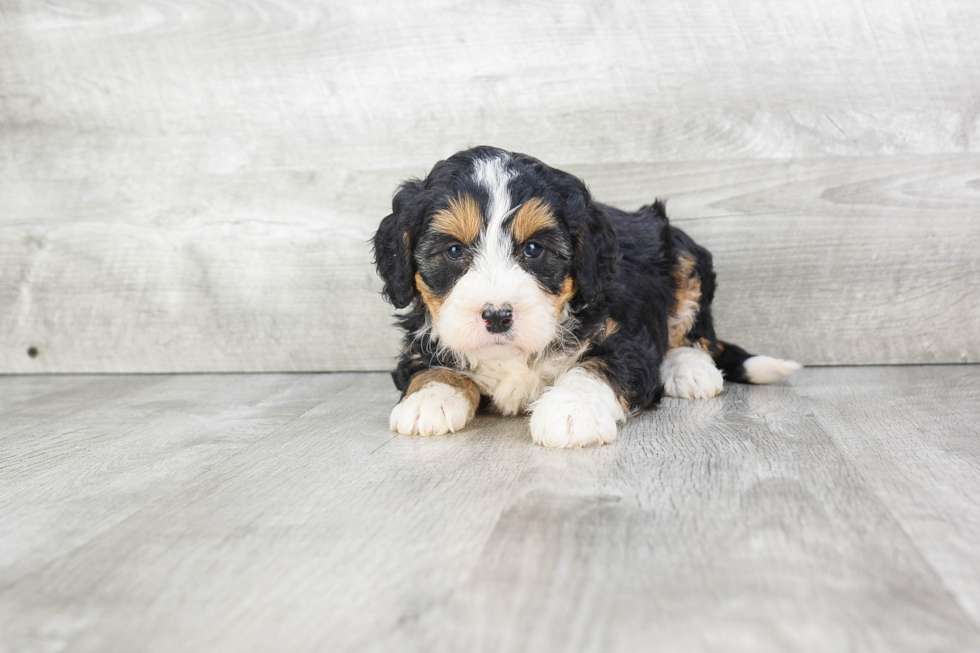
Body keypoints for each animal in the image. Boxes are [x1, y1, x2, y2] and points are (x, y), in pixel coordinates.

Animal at [372, 145, 800, 446]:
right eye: (454, 251)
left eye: (533, 250)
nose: (496, 316)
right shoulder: (420, 339)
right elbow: (426, 365)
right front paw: (430, 399)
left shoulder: (623, 336)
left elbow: (596, 367)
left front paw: (570, 412)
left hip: (683, 256)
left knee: (694, 333)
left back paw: (689, 370)